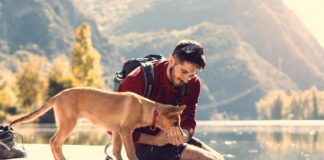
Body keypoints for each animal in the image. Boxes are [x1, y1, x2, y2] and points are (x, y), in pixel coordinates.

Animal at [9, 87, 185, 160]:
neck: (145, 108)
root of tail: (58, 95)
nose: (183, 136)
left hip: (64, 124)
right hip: (69, 123)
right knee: (55, 142)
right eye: (175, 122)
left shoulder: (116, 132)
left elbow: (116, 152)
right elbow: (131, 152)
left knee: (52, 142)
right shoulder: (125, 131)